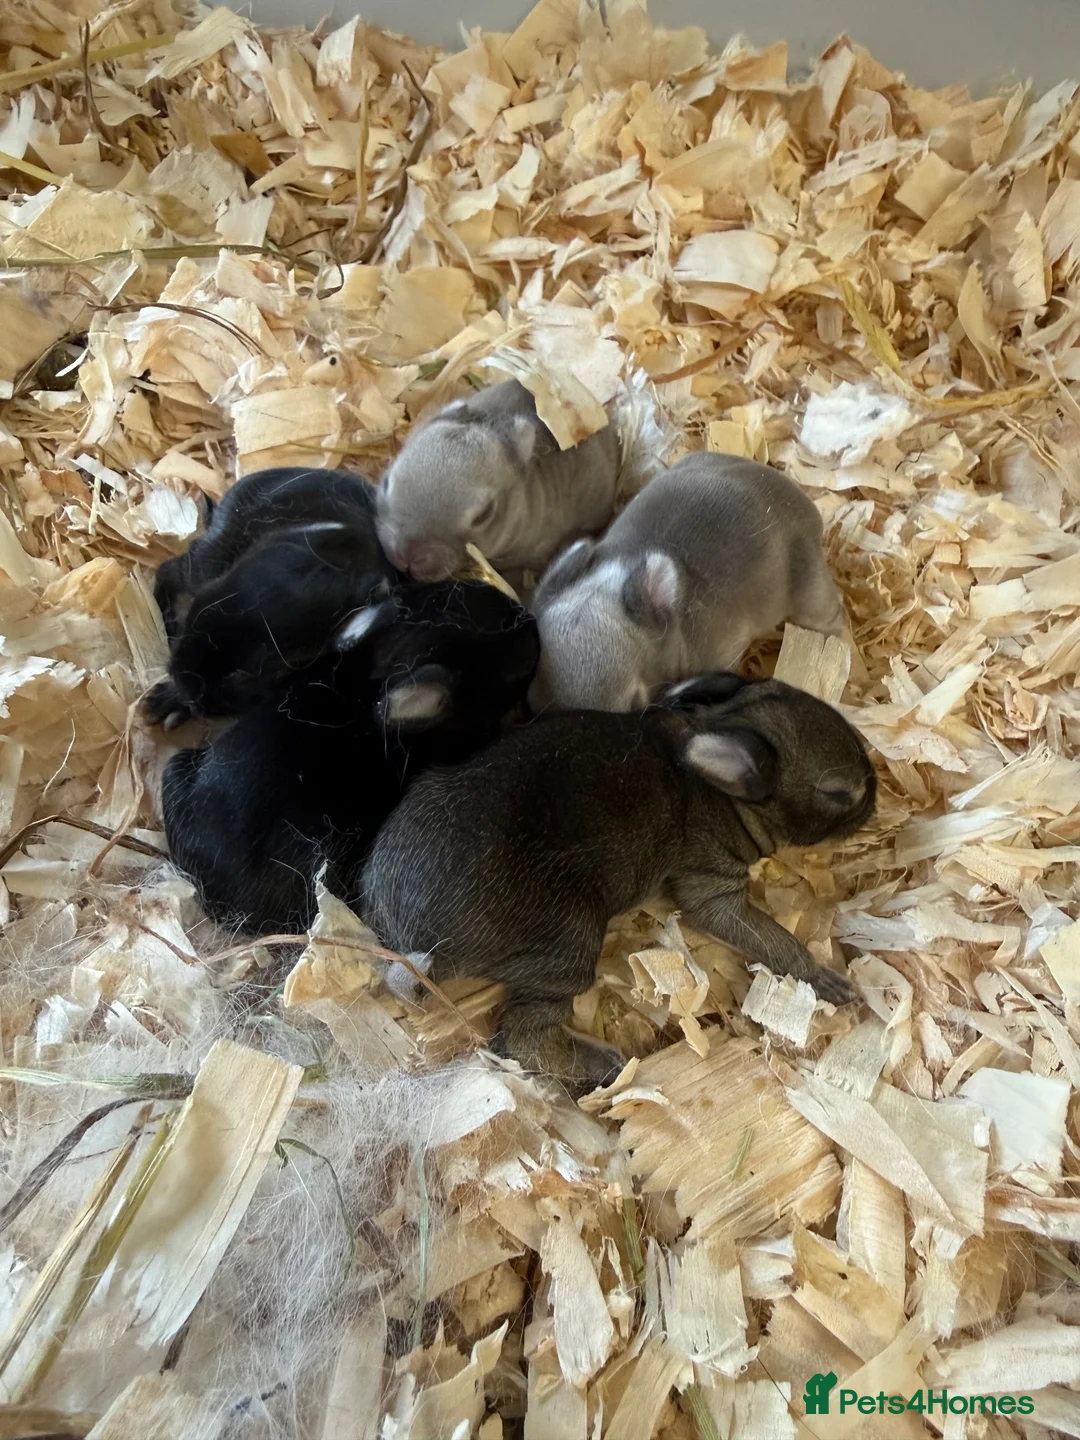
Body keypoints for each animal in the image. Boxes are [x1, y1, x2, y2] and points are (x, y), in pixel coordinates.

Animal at [362, 672, 875, 1093]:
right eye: (838, 793)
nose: (875, 799)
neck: (722, 792)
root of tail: (414, 942)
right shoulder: (712, 883)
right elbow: (772, 939)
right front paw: (828, 982)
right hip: (568, 944)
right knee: (524, 1033)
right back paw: (607, 1064)